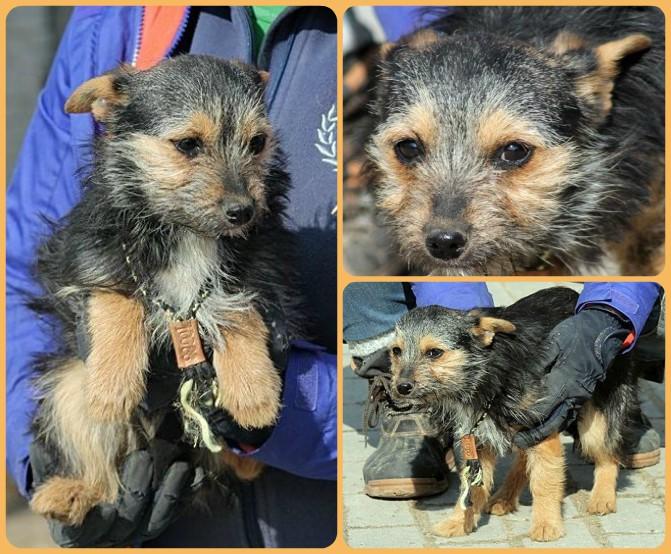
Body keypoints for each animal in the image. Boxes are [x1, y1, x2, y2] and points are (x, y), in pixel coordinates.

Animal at [388, 287, 643, 541]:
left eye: (434, 353)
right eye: (396, 351)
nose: (402, 387)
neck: (488, 373)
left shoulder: (543, 426)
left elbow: (543, 482)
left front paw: (546, 524)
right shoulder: (476, 438)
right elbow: (471, 486)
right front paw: (459, 521)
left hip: (595, 422)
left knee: (608, 455)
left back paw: (602, 497)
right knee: (523, 459)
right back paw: (505, 497)